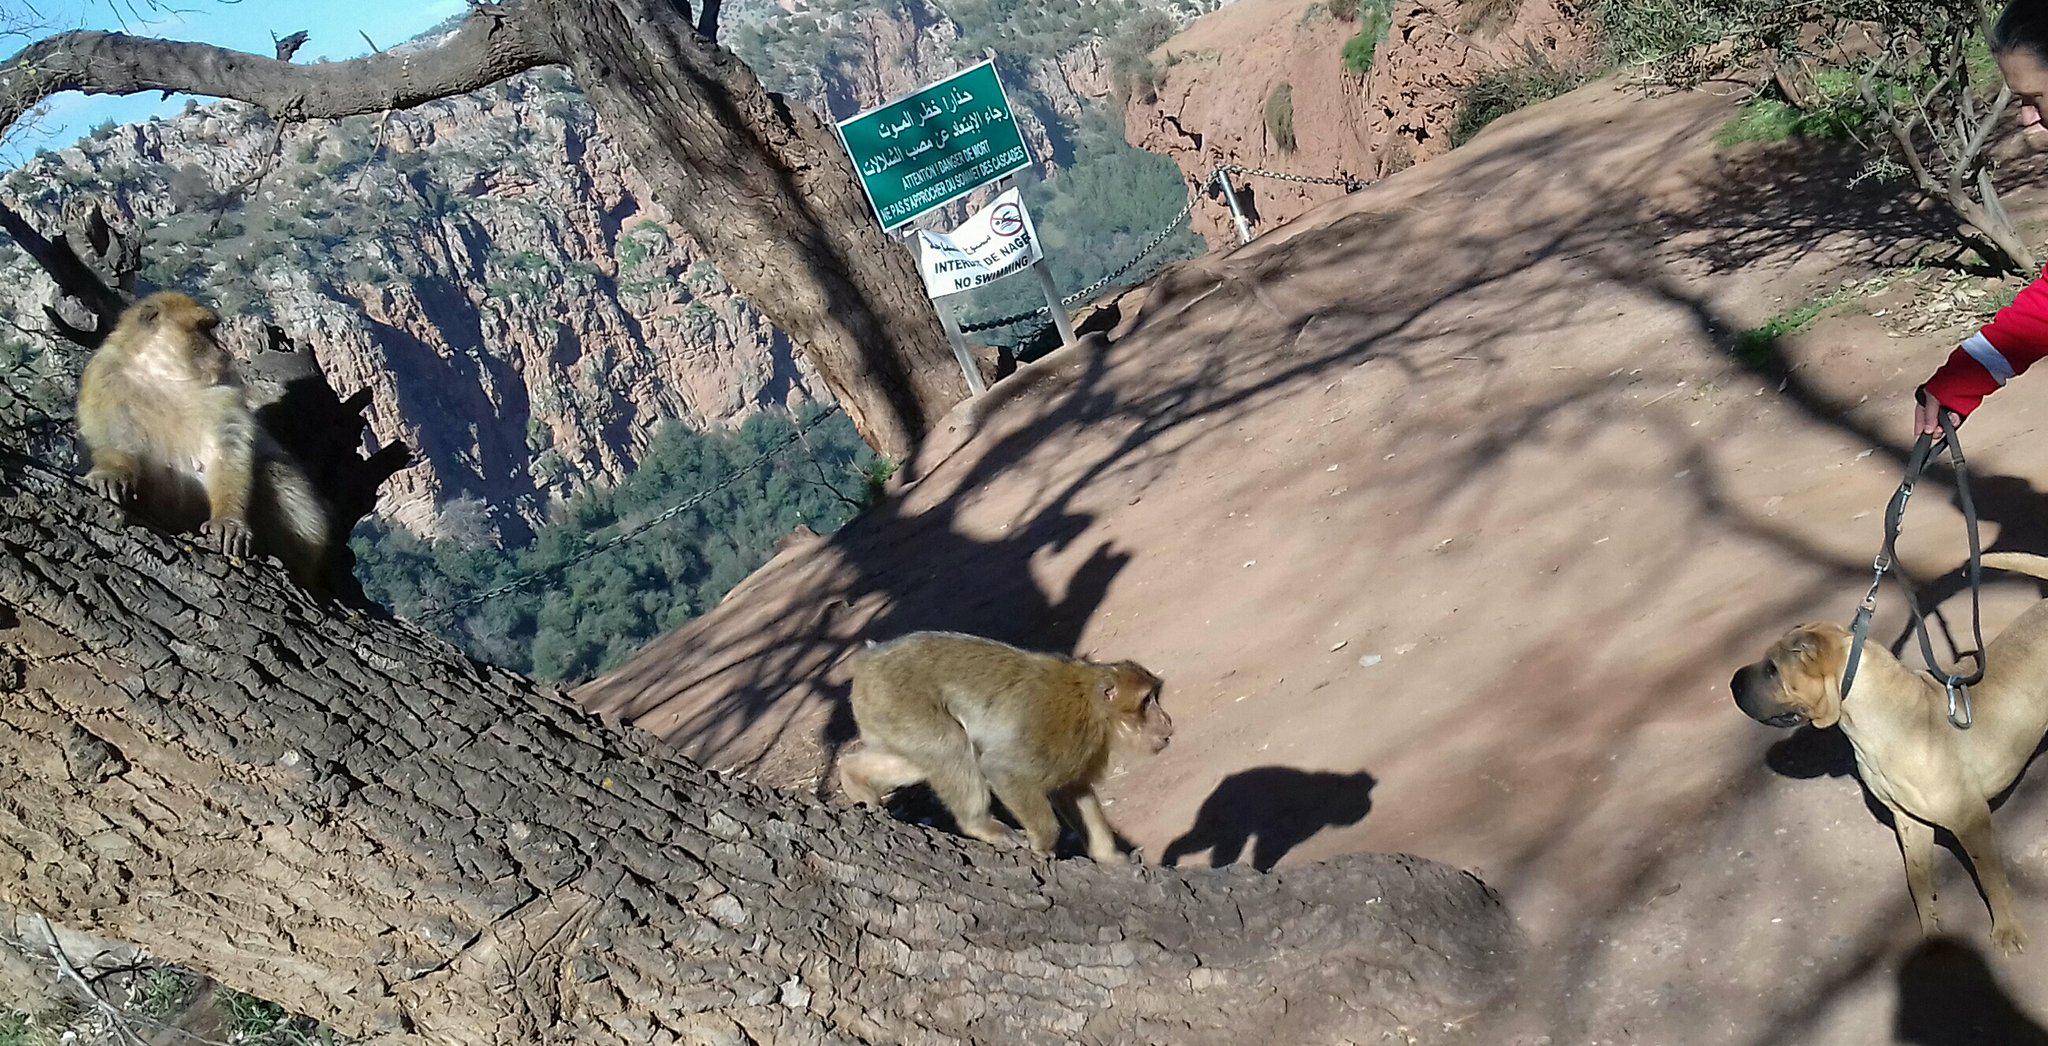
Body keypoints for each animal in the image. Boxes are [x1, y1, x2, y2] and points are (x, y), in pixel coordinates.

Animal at [76, 292, 331, 589]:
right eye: (203, 328)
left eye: (212, 329)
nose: (222, 348)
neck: (162, 374)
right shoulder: (105, 379)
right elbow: (114, 437)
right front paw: (110, 474)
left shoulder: (223, 392)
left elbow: (227, 453)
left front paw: (228, 522)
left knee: (274, 470)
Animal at [839, 634, 1179, 863]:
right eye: (1147, 701)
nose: (1167, 719)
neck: (1093, 707)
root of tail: (868, 659)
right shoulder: (1059, 733)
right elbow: (1003, 770)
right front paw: (1044, 843)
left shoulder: (1078, 752)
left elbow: (1074, 791)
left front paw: (1111, 859)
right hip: (900, 699)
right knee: (952, 747)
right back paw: (979, 824)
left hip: (884, 709)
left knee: (916, 761)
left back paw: (852, 775)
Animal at [1736, 556, 2048, 957]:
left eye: (1773, 669)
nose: (1733, 681)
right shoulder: (1909, 821)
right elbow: (1919, 883)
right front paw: (1931, 935)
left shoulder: (1972, 819)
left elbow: (1991, 878)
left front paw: (2007, 930)